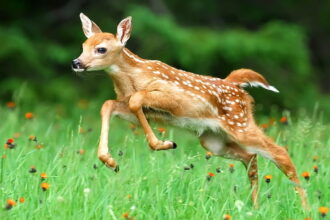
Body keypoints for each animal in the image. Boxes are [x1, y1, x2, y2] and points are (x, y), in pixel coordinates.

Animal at [71, 12, 306, 209]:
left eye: (101, 49)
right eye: (83, 45)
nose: (76, 62)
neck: (132, 79)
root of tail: (236, 86)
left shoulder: (174, 98)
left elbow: (136, 100)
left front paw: (162, 144)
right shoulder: (137, 107)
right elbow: (108, 104)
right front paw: (110, 161)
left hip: (240, 124)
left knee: (280, 153)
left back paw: (305, 207)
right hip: (213, 140)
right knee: (250, 157)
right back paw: (255, 207)